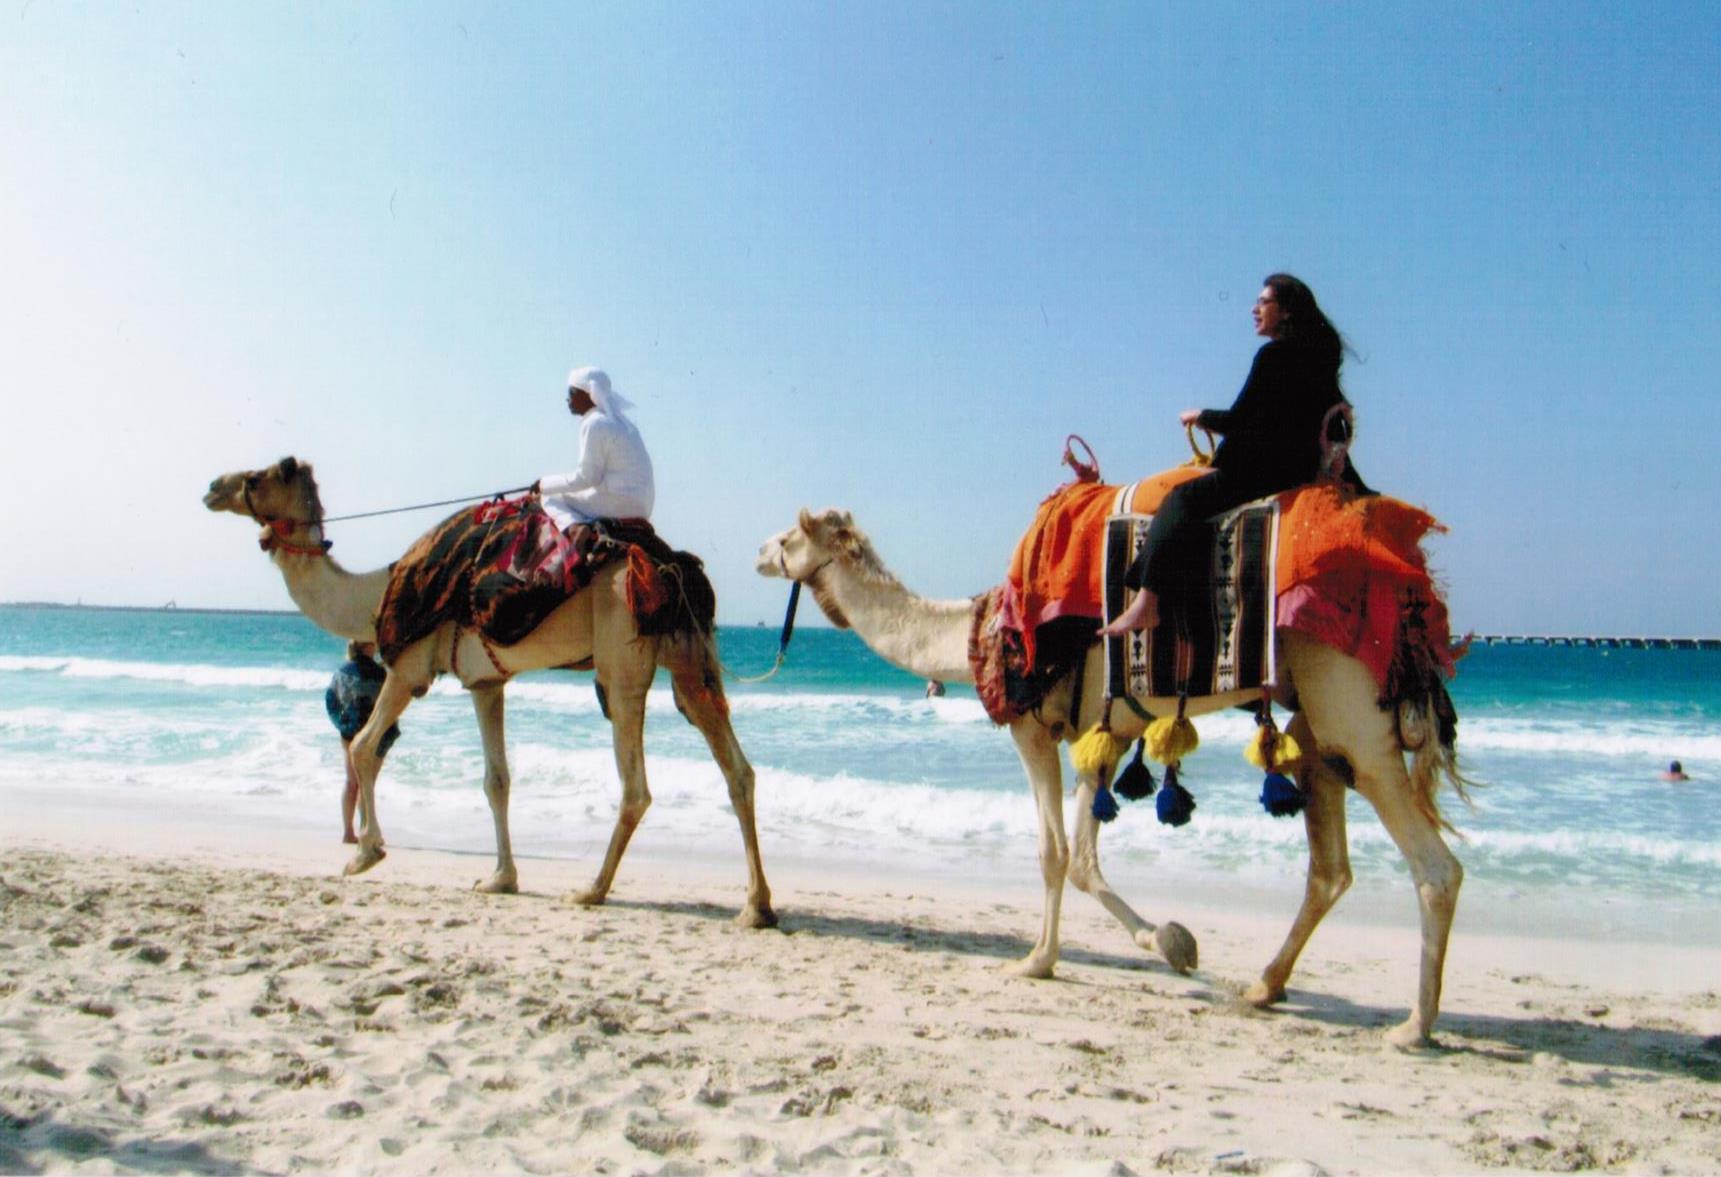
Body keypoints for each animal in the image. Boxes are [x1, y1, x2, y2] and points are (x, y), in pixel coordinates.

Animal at [204, 457, 775, 928]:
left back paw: (591, 890)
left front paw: (366, 854)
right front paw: (501, 878)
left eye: (255, 478)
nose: (212, 486)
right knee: (737, 769)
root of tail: (671, 566)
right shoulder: (485, 681)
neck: (378, 591)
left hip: (622, 656)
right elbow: (496, 779)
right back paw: (756, 906)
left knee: (637, 785)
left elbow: (365, 746)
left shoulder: (408, 668)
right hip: (690, 658)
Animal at [758, 506, 1468, 1046]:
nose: (758, 551)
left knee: (1435, 868)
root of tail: (1413, 602)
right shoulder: (1101, 739)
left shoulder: (1032, 728)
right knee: (1330, 866)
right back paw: (1265, 985)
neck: (971, 634)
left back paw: (1414, 1026)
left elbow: (1053, 852)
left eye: (789, 536)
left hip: (1348, 702)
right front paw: (1173, 942)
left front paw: (1038, 961)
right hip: (1318, 723)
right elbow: (1082, 858)